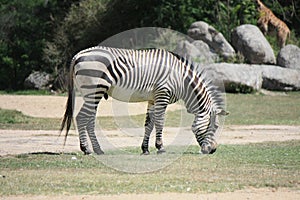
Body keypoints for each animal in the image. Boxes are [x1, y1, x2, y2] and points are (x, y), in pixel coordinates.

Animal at [59, 46, 226, 155]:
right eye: (214, 126)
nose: (213, 150)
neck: (181, 79)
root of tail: (78, 55)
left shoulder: (153, 99)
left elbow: (149, 125)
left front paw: (145, 149)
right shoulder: (162, 95)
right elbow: (160, 122)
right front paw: (160, 147)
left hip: (93, 93)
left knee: (89, 120)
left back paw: (98, 149)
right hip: (94, 89)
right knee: (81, 118)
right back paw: (86, 149)